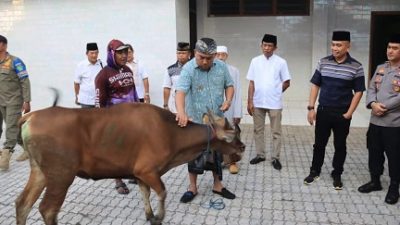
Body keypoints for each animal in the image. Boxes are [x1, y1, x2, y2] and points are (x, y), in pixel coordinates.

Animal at [14, 102, 244, 225]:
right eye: (232, 138)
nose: (242, 148)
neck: (173, 137)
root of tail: (29, 117)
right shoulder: (148, 169)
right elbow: (162, 192)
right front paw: (158, 217)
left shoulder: (139, 173)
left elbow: (145, 194)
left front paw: (150, 215)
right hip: (61, 174)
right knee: (47, 209)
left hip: (39, 171)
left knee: (22, 203)